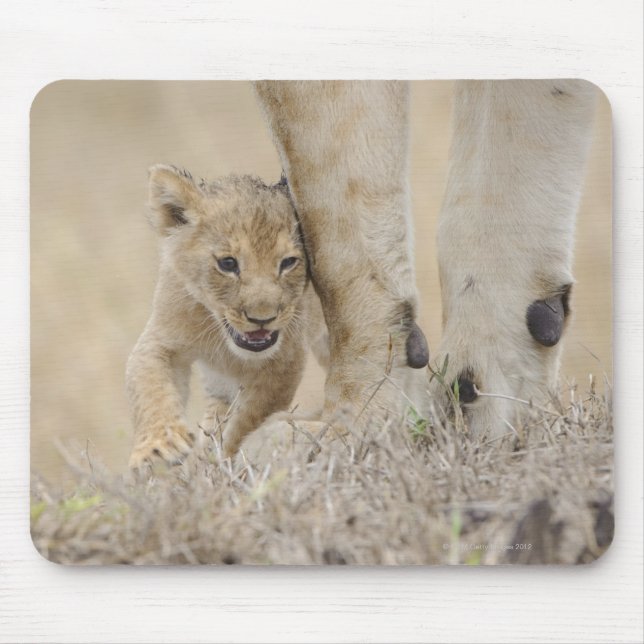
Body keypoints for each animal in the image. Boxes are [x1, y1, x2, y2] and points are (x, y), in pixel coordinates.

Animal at [126, 165, 327, 469]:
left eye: (289, 262)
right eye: (228, 263)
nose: (262, 318)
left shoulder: (284, 366)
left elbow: (243, 425)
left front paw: (222, 464)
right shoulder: (162, 338)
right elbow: (150, 385)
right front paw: (159, 447)